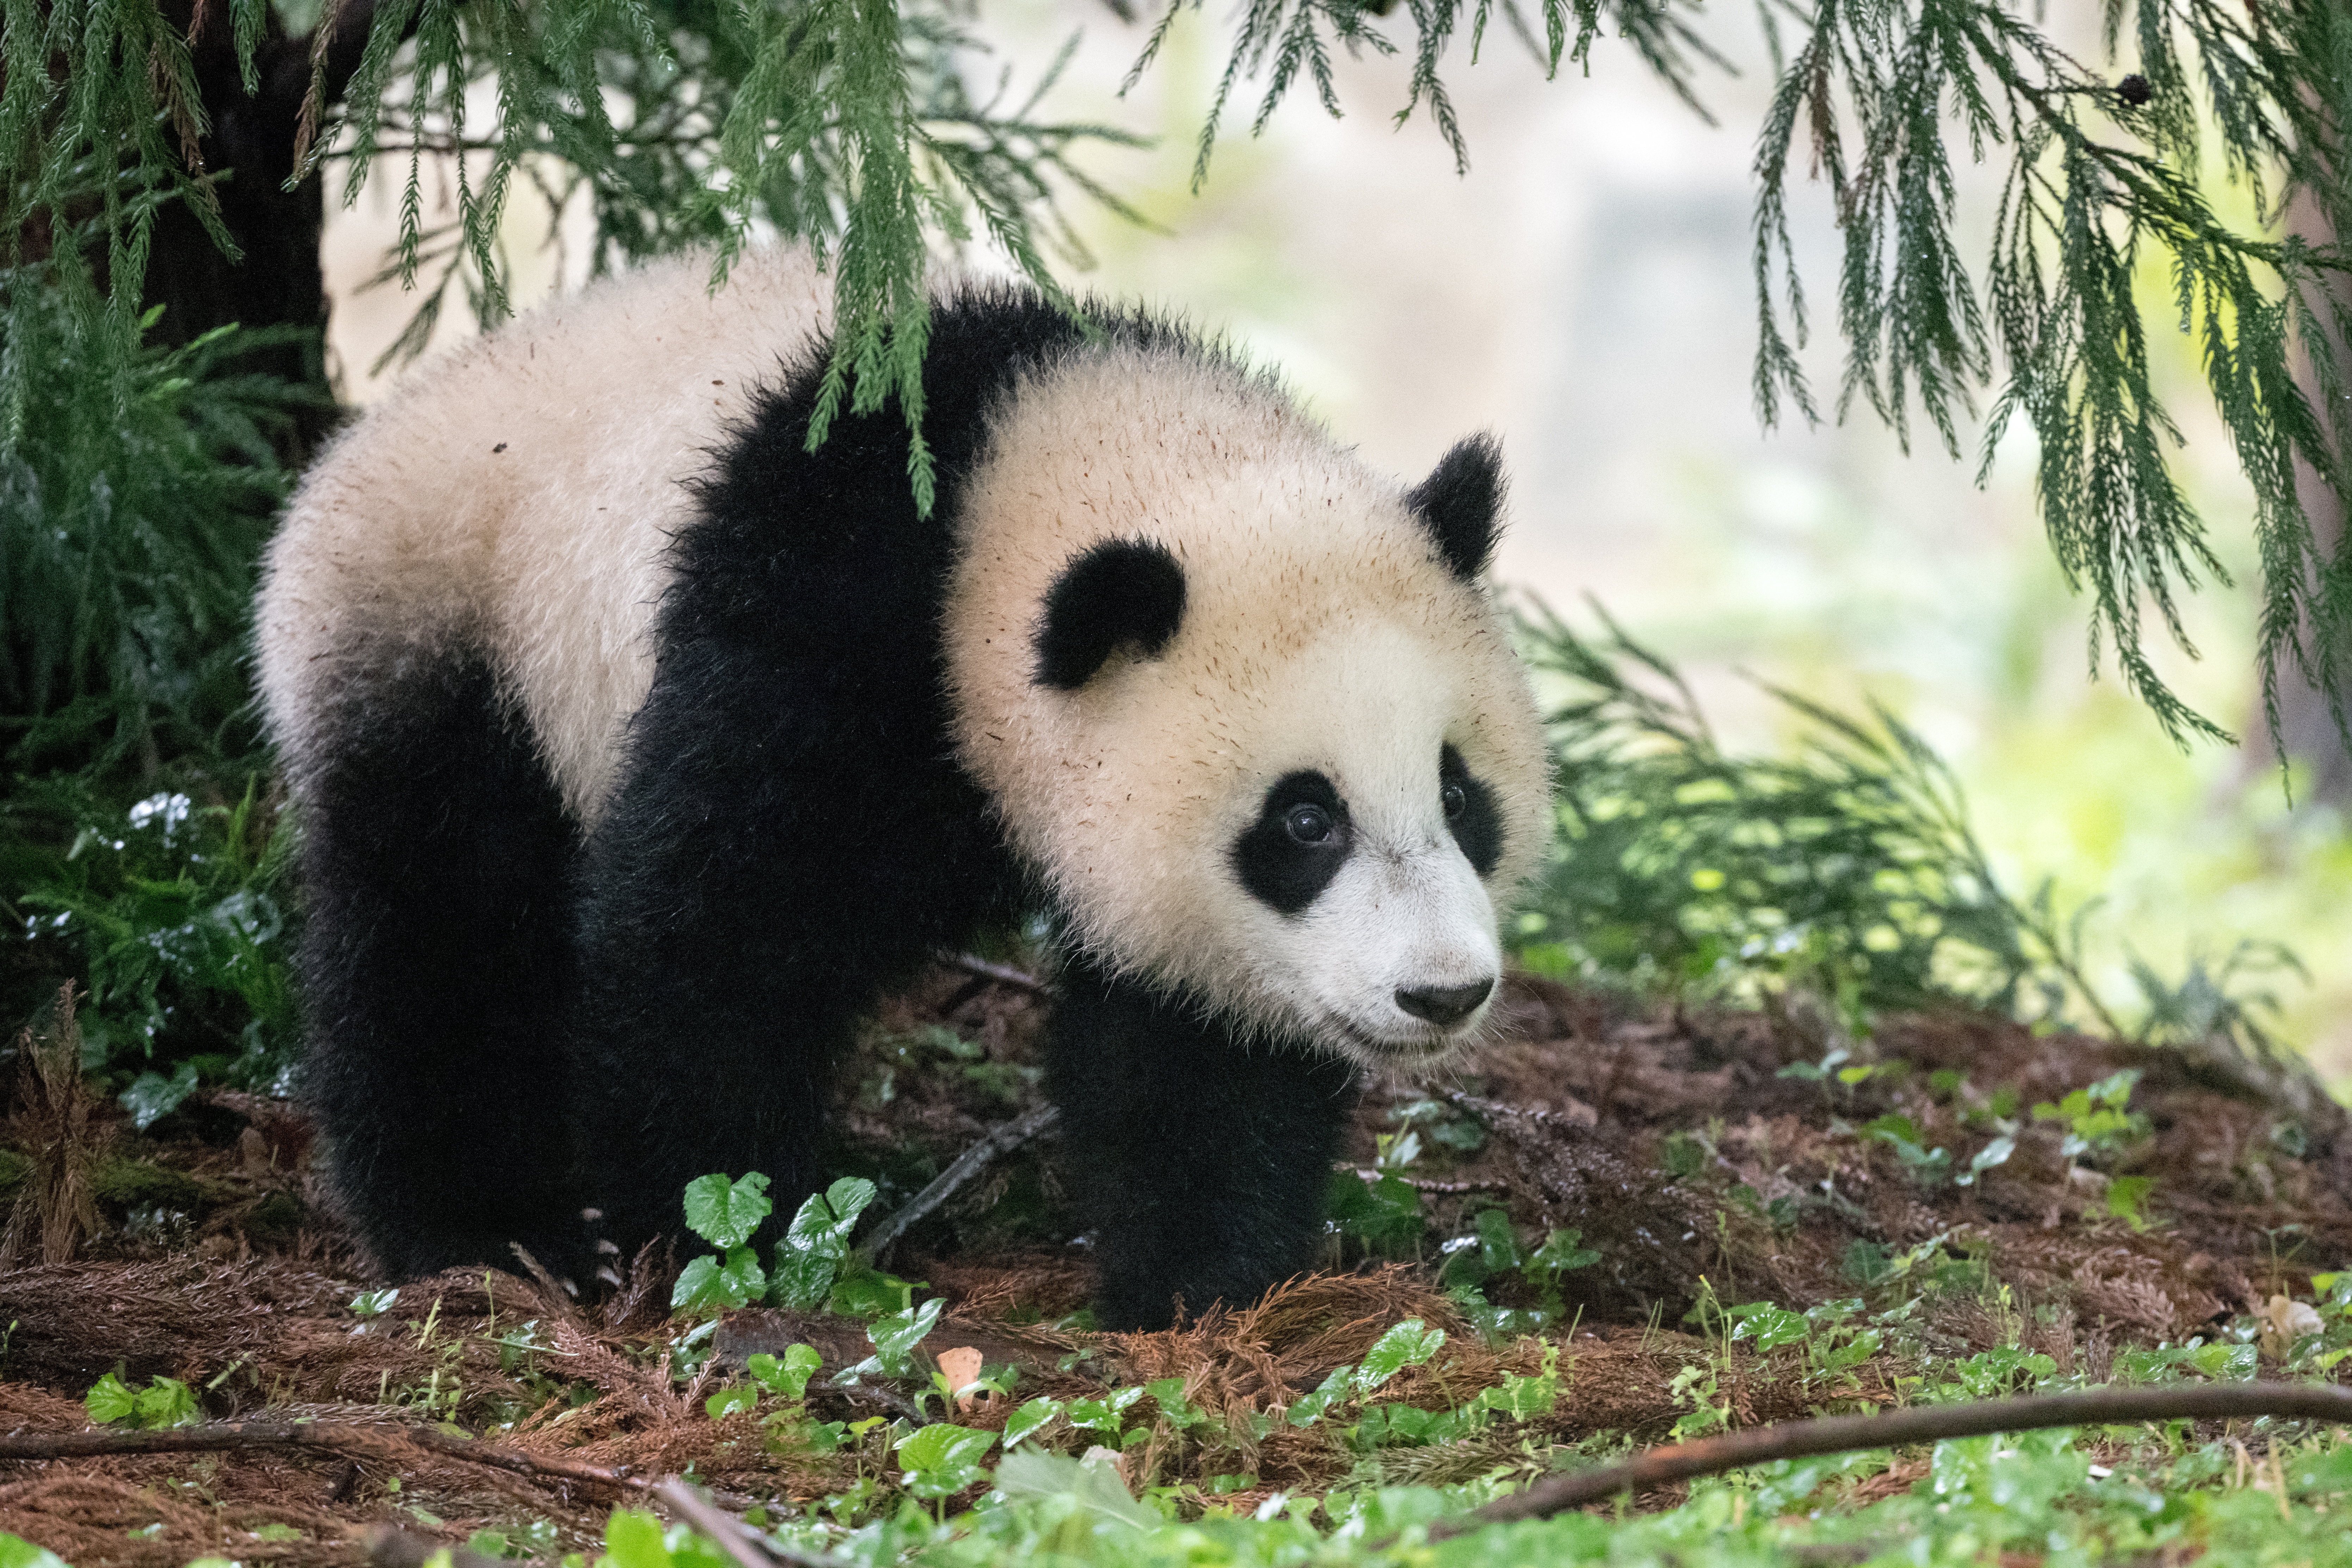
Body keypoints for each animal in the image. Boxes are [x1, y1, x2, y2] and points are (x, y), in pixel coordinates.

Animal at [258, 252, 1552, 1335]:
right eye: (1304, 821)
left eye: (1460, 795)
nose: (1441, 992)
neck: (1020, 452)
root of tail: (344, 465)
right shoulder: (815, 622)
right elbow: (709, 938)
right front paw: (723, 1236)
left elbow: (1191, 1046)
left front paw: (1198, 1281)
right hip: (456, 628)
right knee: (440, 922)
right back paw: (492, 1234)